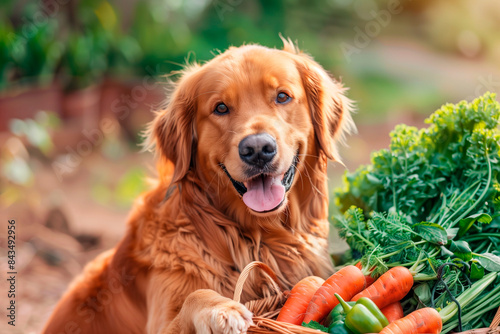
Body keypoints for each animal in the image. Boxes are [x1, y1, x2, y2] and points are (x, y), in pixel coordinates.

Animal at [44, 39, 356, 334]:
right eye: (220, 108)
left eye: (282, 96)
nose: (257, 149)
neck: (258, 238)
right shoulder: (163, 319)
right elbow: (197, 294)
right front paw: (223, 310)